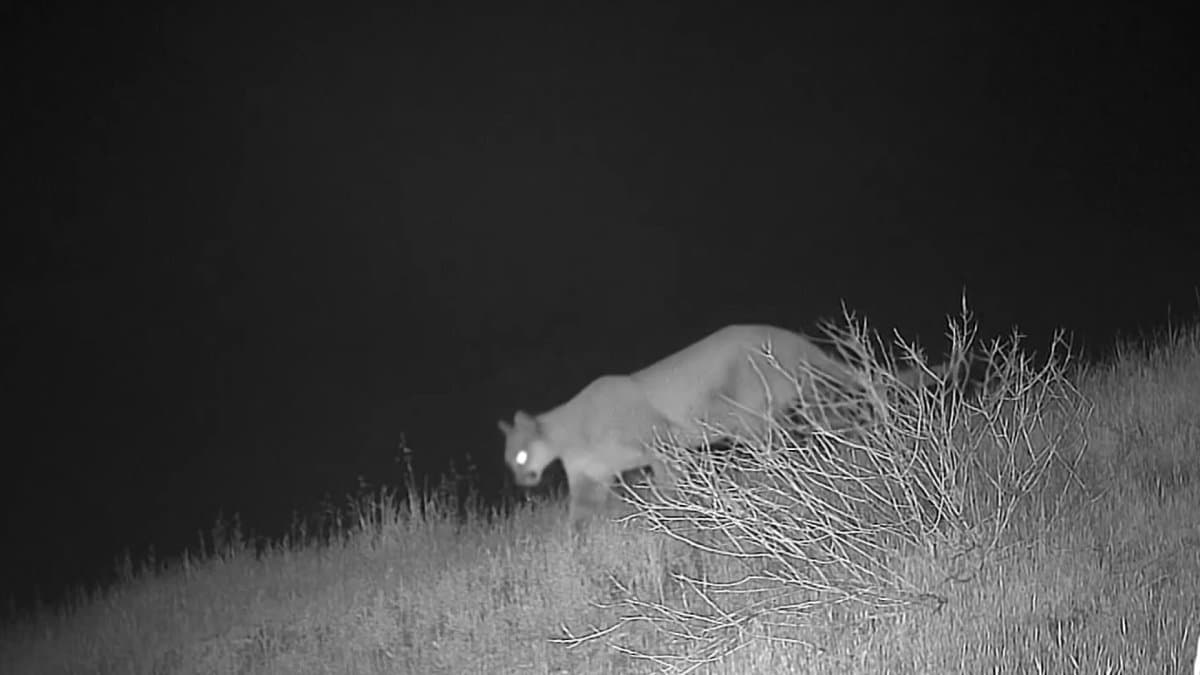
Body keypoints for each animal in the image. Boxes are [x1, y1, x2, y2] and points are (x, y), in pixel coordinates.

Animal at [498, 324, 870, 526]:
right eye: (509, 461)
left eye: (520, 456)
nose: (520, 481)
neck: (570, 435)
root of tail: (788, 336)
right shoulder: (591, 479)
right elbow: (578, 520)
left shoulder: (660, 441)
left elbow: (668, 483)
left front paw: (675, 513)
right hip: (797, 401)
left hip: (748, 415)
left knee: (783, 447)